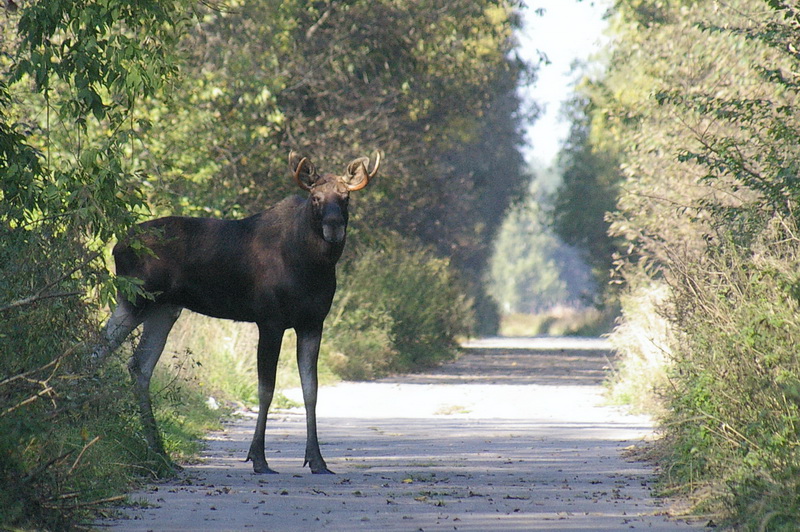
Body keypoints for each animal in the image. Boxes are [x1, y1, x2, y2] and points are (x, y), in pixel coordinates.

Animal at [94, 150, 382, 474]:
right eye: (315, 198)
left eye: (346, 197)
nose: (333, 226)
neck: (312, 266)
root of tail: (117, 246)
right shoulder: (269, 320)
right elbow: (266, 389)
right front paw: (258, 458)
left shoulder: (313, 322)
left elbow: (311, 389)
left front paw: (317, 460)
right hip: (134, 299)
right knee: (95, 351)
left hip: (164, 309)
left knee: (139, 366)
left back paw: (159, 452)